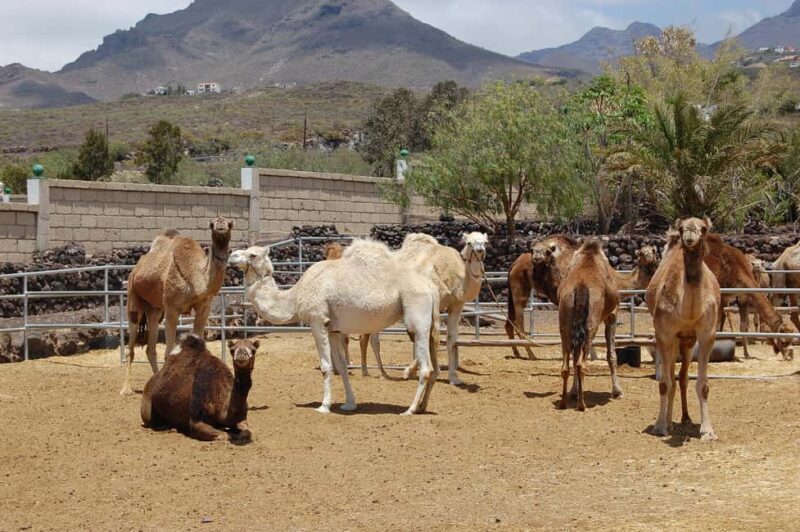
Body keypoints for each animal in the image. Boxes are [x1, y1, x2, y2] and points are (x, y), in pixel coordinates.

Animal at [120, 217, 233, 395]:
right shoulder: (172, 308)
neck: (196, 279)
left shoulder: (204, 308)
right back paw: (126, 389)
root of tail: (136, 269)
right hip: (133, 296)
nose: (220, 224)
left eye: (230, 224)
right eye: (211, 224)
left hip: (154, 308)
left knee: (150, 347)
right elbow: (168, 353)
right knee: (131, 345)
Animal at [228, 241, 440, 415]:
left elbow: (326, 366)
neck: (295, 296)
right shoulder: (334, 330)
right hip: (429, 326)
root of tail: (431, 287)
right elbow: (342, 366)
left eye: (253, 255)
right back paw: (422, 406)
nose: (232, 255)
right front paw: (349, 404)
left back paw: (409, 409)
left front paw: (324, 406)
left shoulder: (317, 321)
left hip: (417, 319)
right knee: (434, 366)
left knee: (426, 367)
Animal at [557, 239, 622, 411]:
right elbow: (612, 354)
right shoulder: (612, 314)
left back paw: (564, 402)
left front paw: (573, 392)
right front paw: (617, 391)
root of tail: (581, 286)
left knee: (567, 365)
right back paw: (582, 404)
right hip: (591, 325)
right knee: (581, 364)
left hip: (565, 322)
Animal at [646, 218, 720, 441]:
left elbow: (703, 385)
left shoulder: (707, 335)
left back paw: (685, 418)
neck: (688, 312)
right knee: (671, 377)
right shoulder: (664, 334)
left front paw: (707, 431)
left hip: (687, 342)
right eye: (681, 228)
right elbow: (664, 383)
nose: (689, 237)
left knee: (683, 377)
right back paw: (669, 422)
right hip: (674, 341)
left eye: (703, 229)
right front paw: (660, 426)